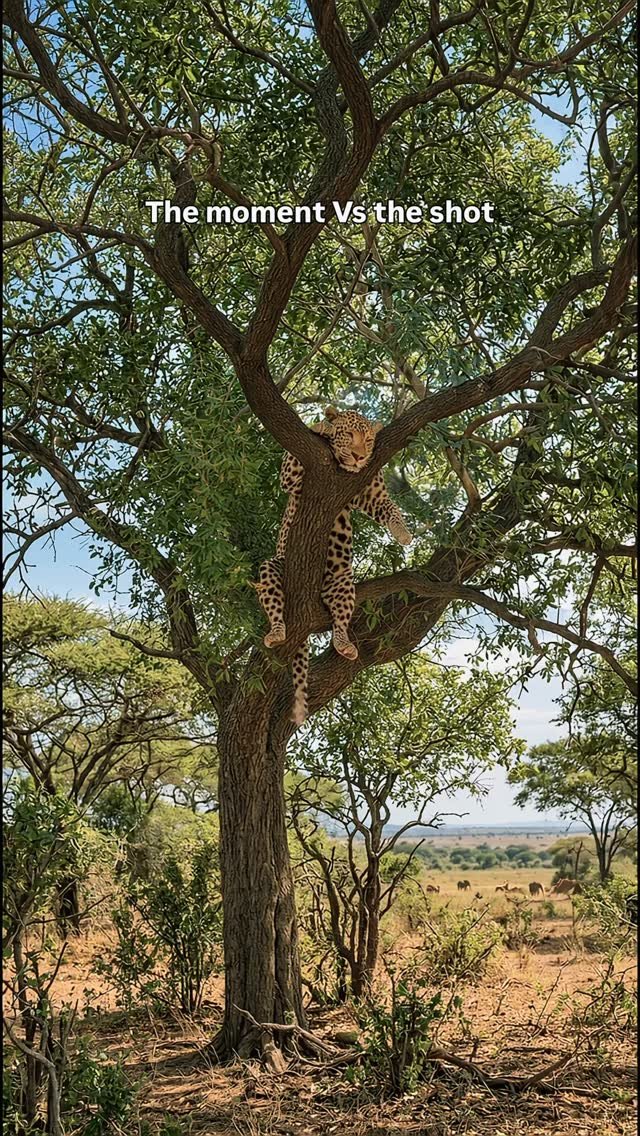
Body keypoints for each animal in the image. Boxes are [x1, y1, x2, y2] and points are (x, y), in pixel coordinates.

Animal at [254, 406, 413, 725]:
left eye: (368, 440)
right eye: (348, 435)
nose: (359, 457)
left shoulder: (371, 494)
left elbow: (390, 509)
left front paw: (404, 534)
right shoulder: (292, 475)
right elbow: (297, 459)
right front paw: (323, 427)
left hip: (341, 583)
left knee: (339, 621)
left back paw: (344, 645)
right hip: (273, 567)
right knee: (274, 604)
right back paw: (276, 632)